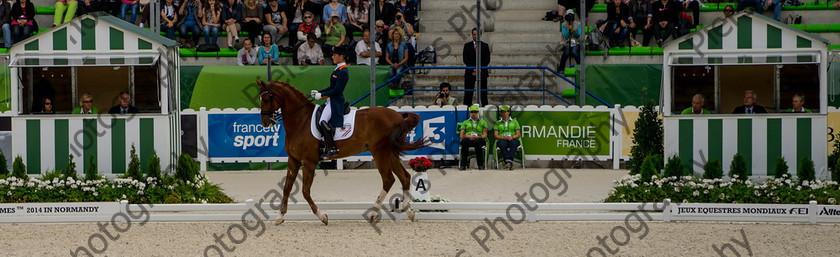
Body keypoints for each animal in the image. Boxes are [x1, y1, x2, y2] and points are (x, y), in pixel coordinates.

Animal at [256, 80, 426, 224]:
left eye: (266, 99)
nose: (265, 123)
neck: (300, 121)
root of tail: (398, 115)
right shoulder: (293, 159)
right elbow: (287, 187)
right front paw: (280, 216)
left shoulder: (309, 162)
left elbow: (305, 191)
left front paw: (322, 216)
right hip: (390, 153)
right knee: (404, 177)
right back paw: (409, 212)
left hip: (380, 152)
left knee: (388, 179)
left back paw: (373, 213)